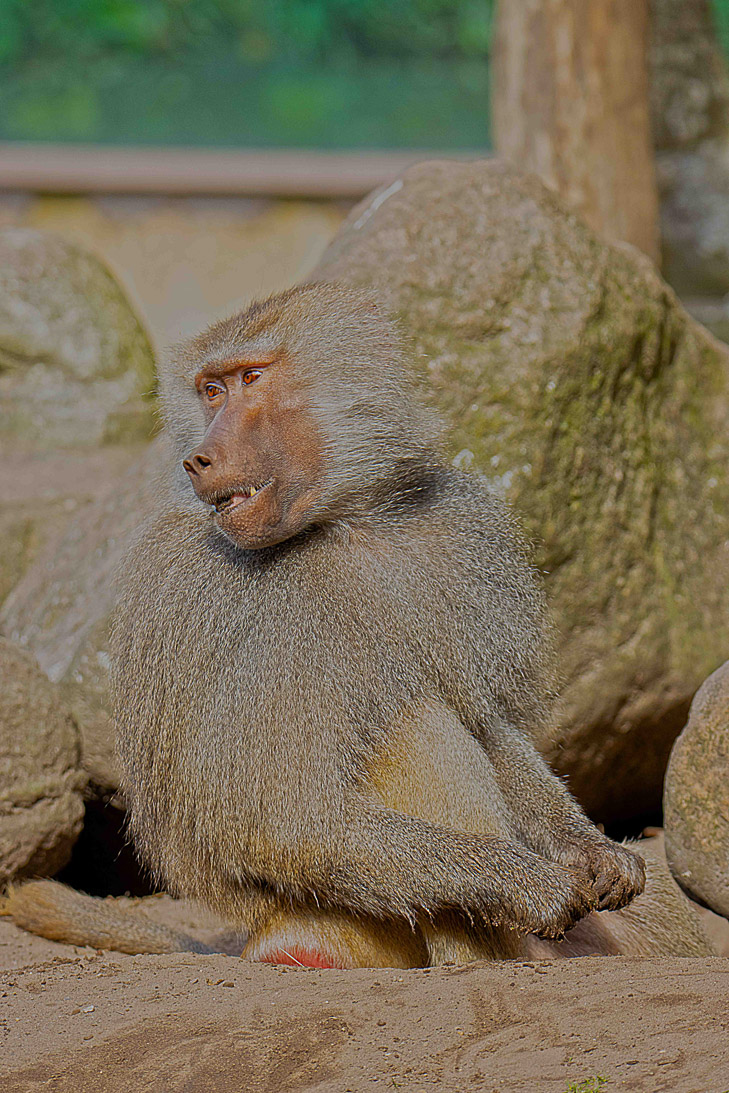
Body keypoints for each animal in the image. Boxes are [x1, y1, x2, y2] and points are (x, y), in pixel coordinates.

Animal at [4, 283, 653, 968]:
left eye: (249, 379)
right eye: (211, 391)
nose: (198, 458)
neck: (345, 523)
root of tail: (265, 933)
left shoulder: (461, 533)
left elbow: (487, 721)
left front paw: (593, 852)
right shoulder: (259, 621)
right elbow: (284, 822)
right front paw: (532, 884)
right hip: (345, 924)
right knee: (415, 725)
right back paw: (487, 963)